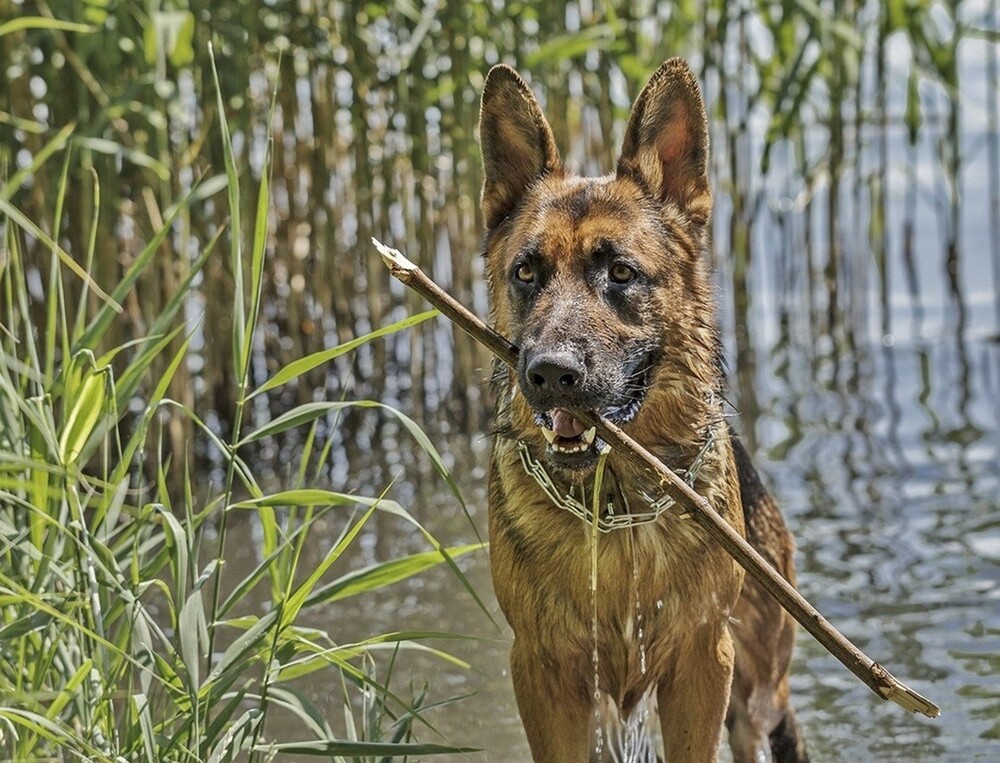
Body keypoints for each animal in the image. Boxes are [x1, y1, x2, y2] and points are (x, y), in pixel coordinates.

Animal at [476, 56, 812, 760]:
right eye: (526, 273)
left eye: (621, 273)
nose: (550, 373)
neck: (615, 504)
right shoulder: (543, 670)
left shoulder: (703, 661)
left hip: (757, 690)